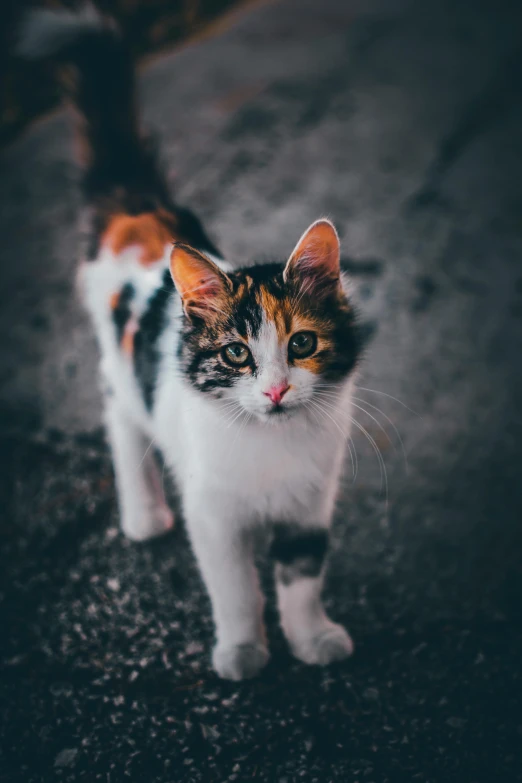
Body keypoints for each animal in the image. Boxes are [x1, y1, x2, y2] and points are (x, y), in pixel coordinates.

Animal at [20, 4, 362, 680]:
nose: (276, 391)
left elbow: (301, 583)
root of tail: (142, 218)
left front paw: (313, 640)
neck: (271, 444)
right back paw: (143, 515)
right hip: (119, 374)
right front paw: (243, 652)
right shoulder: (214, 516)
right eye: (236, 353)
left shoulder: (310, 506)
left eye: (302, 344)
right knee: (120, 420)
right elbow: (235, 590)